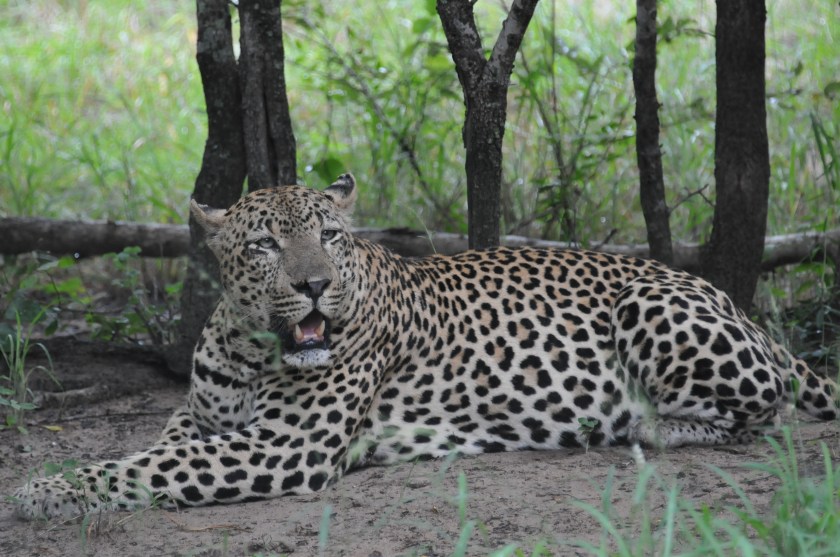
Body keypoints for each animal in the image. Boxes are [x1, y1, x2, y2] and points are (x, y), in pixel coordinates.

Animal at [13, 173, 838, 520]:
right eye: (265, 244)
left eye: (330, 236)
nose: (315, 286)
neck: (253, 347)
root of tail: (731, 299)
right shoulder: (201, 419)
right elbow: (157, 450)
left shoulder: (283, 447)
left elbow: (146, 467)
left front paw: (44, 490)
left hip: (651, 308)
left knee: (764, 409)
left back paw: (645, 423)